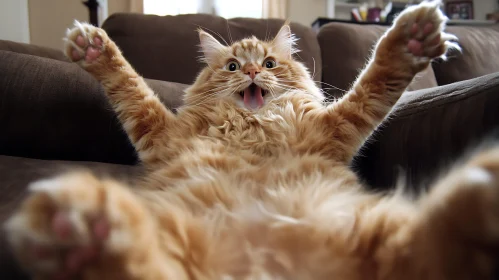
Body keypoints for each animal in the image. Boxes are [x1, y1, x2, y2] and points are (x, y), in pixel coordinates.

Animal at [4, 1, 499, 278]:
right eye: (232, 67)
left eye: (270, 63)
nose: (254, 73)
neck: (250, 126)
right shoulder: (160, 132)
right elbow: (131, 85)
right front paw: (95, 49)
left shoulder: (335, 126)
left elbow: (374, 82)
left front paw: (410, 41)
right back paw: (81, 228)